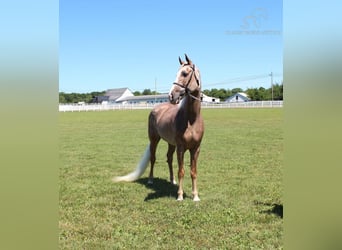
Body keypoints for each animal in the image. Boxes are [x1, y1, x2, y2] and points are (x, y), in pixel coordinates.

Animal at [112, 54, 204, 201]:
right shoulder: (181, 148)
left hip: (171, 144)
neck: (191, 121)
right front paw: (180, 196)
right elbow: (181, 171)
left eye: (184, 73)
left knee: (169, 158)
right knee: (153, 158)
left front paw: (195, 196)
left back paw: (172, 180)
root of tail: (156, 108)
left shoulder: (196, 149)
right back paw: (150, 179)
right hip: (154, 140)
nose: (171, 96)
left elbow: (193, 172)